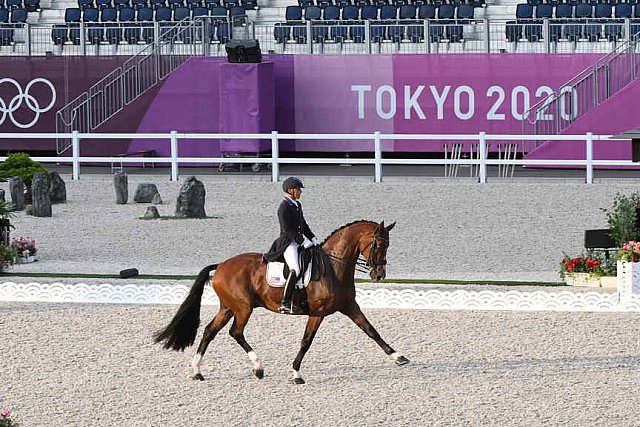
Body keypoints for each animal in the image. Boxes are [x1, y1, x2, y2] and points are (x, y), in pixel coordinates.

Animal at [152, 221, 408, 384]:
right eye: (377, 244)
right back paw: (258, 368)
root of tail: (222, 265)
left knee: (209, 331)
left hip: (228, 308)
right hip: (243, 308)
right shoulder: (318, 313)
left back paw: (197, 371)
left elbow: (371, 331)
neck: (334, 267)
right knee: (236, 332)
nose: (379, 275)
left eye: (388, 245)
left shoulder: (349, 307)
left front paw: (398, 357)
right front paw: (296, 374)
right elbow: (306, 342)